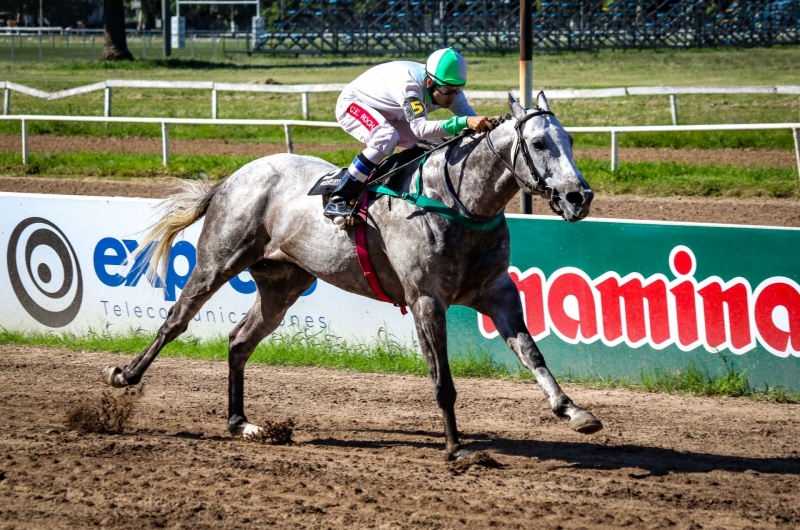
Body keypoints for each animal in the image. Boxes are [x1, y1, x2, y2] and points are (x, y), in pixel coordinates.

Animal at [101, 92, 600, 458]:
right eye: (539, 143)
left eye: (571, 141)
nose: (580, 196)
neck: (456, 202)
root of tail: (232, 178)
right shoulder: (425, 299)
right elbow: (442, 381)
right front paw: (457, 449)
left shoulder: (497, 291)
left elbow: (532, 353)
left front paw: (574, 411)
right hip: (216, 262)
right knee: (175, 321)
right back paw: (125, 375)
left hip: (283, 284)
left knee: (240, 340)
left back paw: (241, 423)